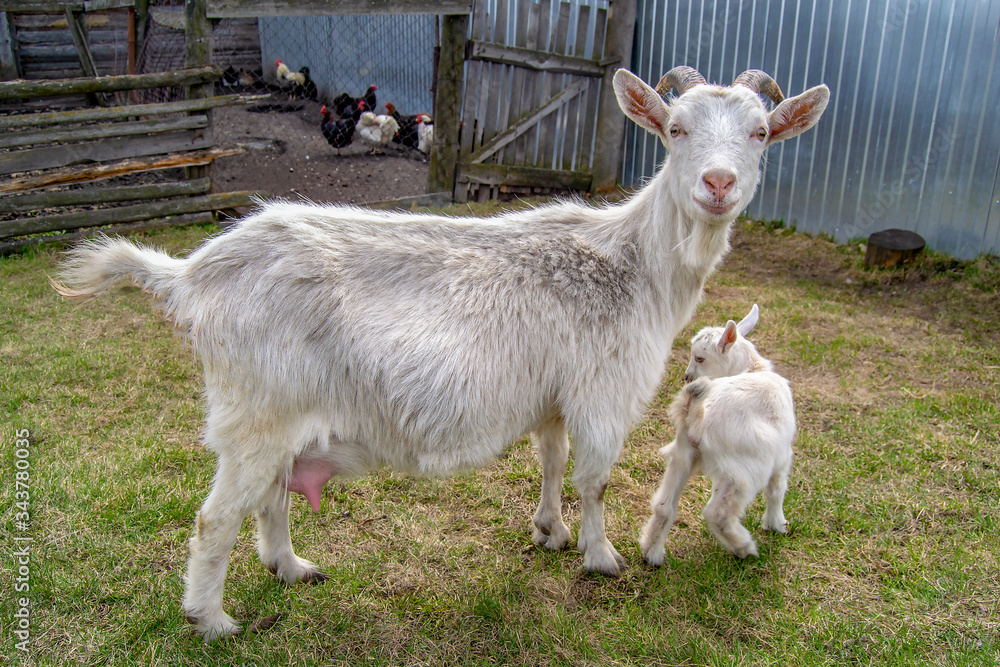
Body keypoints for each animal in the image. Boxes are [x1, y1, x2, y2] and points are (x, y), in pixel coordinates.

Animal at [639, 305, 796, 565]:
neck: (754, 370)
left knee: (664, 506)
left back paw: (652, 555)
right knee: (717, 513)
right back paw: (744, 548)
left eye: (699, 358)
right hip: (745, 470)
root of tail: (698, 413)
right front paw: (776, 525)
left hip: (683, 456)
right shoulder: (781, 454)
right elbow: (776, 488)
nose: (687, 377)